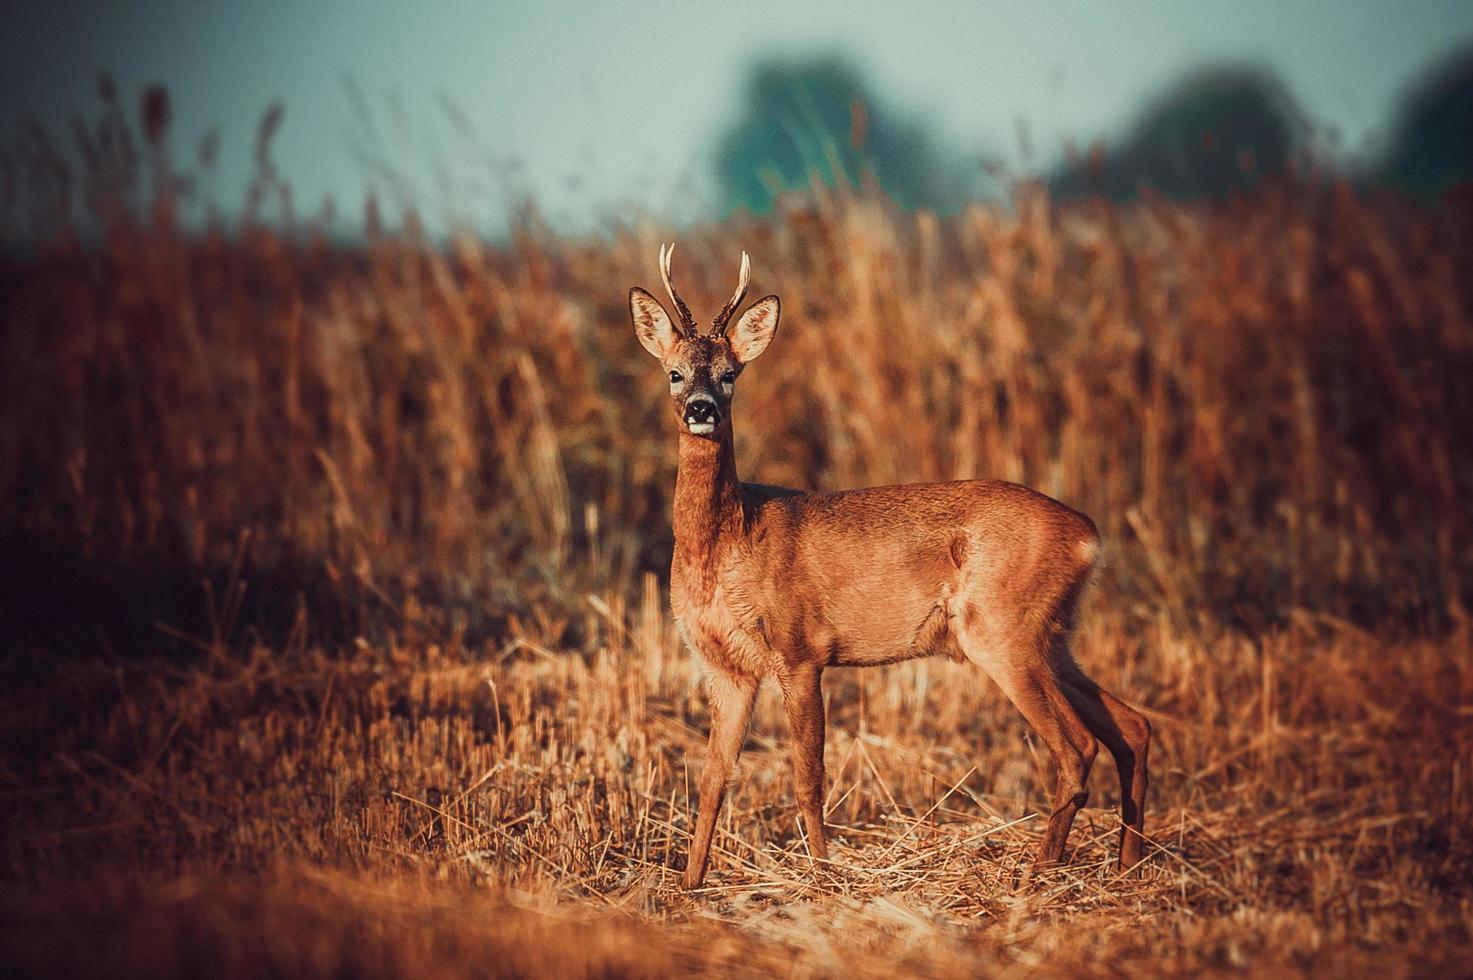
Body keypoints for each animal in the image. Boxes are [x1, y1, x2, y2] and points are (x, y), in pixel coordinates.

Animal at [630, 244, 1148, 884]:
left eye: (730, 374)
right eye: (674, 373)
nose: (702, 409)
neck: (730, 540)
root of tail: (1089, 535)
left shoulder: (800, 650)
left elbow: (808, 775)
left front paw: (822, 876)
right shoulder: (725, 667)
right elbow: (711, 780)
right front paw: (689, 884)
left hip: (1002, 631)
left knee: (1078, 747)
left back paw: (1038, 874)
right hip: (1051, 636)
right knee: (1133, 726)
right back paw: (1128, 866)